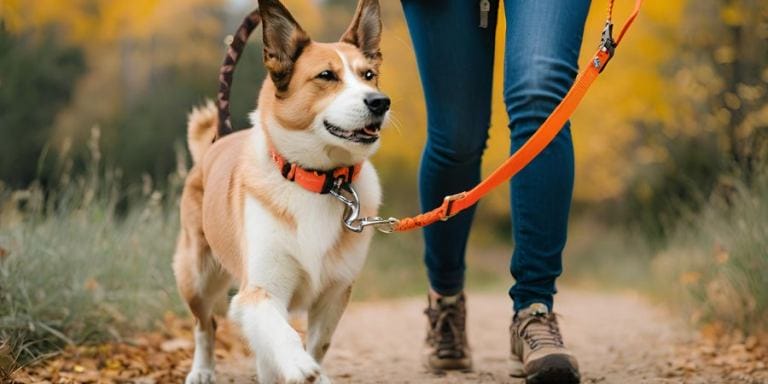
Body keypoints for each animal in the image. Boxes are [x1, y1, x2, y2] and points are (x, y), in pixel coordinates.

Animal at [175, 1, 390, 382]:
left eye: (368, 75)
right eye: (326, 76)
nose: (381, 102)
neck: (320, 181)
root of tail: (218, 140)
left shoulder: (334, 296)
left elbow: (316, 346)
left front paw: (312, 369)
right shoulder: (259, 292)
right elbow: (283, 335)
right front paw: (297, 363)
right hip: (196, 274)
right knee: (205, 325)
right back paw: (201, 369)